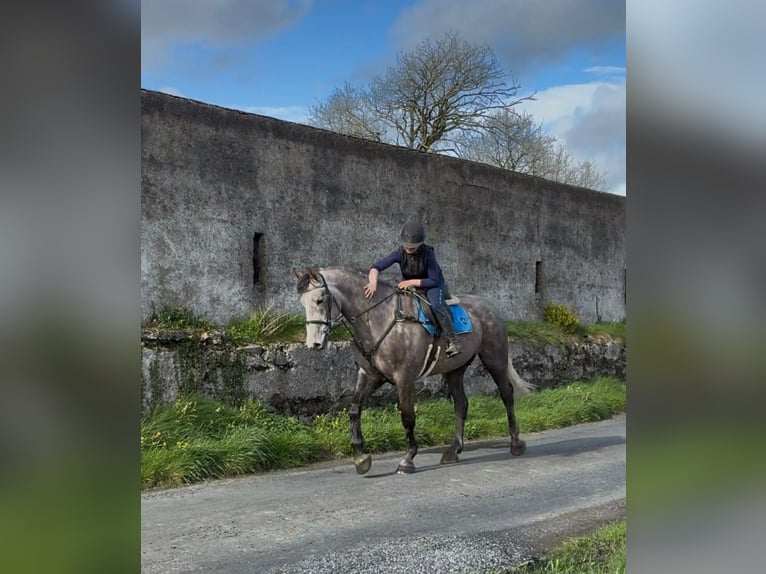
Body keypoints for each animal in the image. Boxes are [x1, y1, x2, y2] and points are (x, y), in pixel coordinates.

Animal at [294, 266, 536, 475]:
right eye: (302, 303)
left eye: (320, 299)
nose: (314, 343)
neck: (380, 319)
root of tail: (489, 306)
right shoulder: (370, 376)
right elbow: (354, 410)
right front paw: (361, 458)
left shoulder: (405, 378)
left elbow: (407, 416)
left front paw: (408, 459)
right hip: (455, 370)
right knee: (461, 404)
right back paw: (453, 450)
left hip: (494, 359)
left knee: (506, 395)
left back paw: (516, 442)